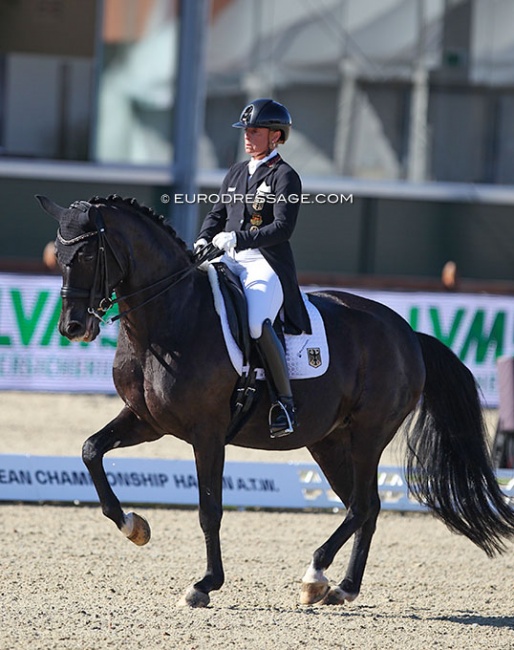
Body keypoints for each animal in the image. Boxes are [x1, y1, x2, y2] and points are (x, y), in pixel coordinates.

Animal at [37, 194, 512, 608]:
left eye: (87, 256)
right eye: (59, 257)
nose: (73, 328)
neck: (171, 317)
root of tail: (407, 332)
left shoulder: (207, 433)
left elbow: (209, 509)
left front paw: (205, 584)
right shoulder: (146, 420)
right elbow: (91, 450)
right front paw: (134, 526)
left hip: (368, 434)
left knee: (362, 505)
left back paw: (315, 575)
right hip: (328, 441)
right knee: (366, 507)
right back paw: (342, 588)